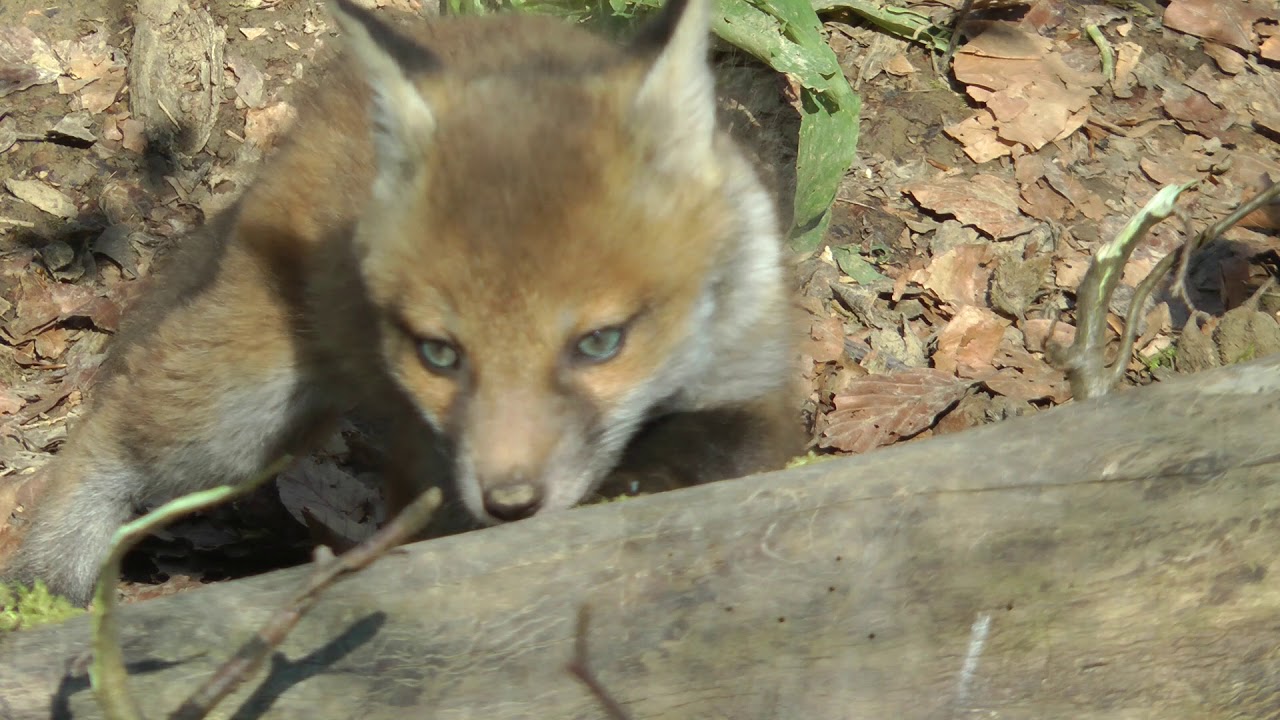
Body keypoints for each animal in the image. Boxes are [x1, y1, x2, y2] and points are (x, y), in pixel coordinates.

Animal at [1, 0, 801, 605]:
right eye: (439, 355)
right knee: (109, 431)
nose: (510, 503)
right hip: (238, 420)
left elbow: (728, 457)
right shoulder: (431, 475)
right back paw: (47, 587)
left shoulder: (749, 389)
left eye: (599, 343)